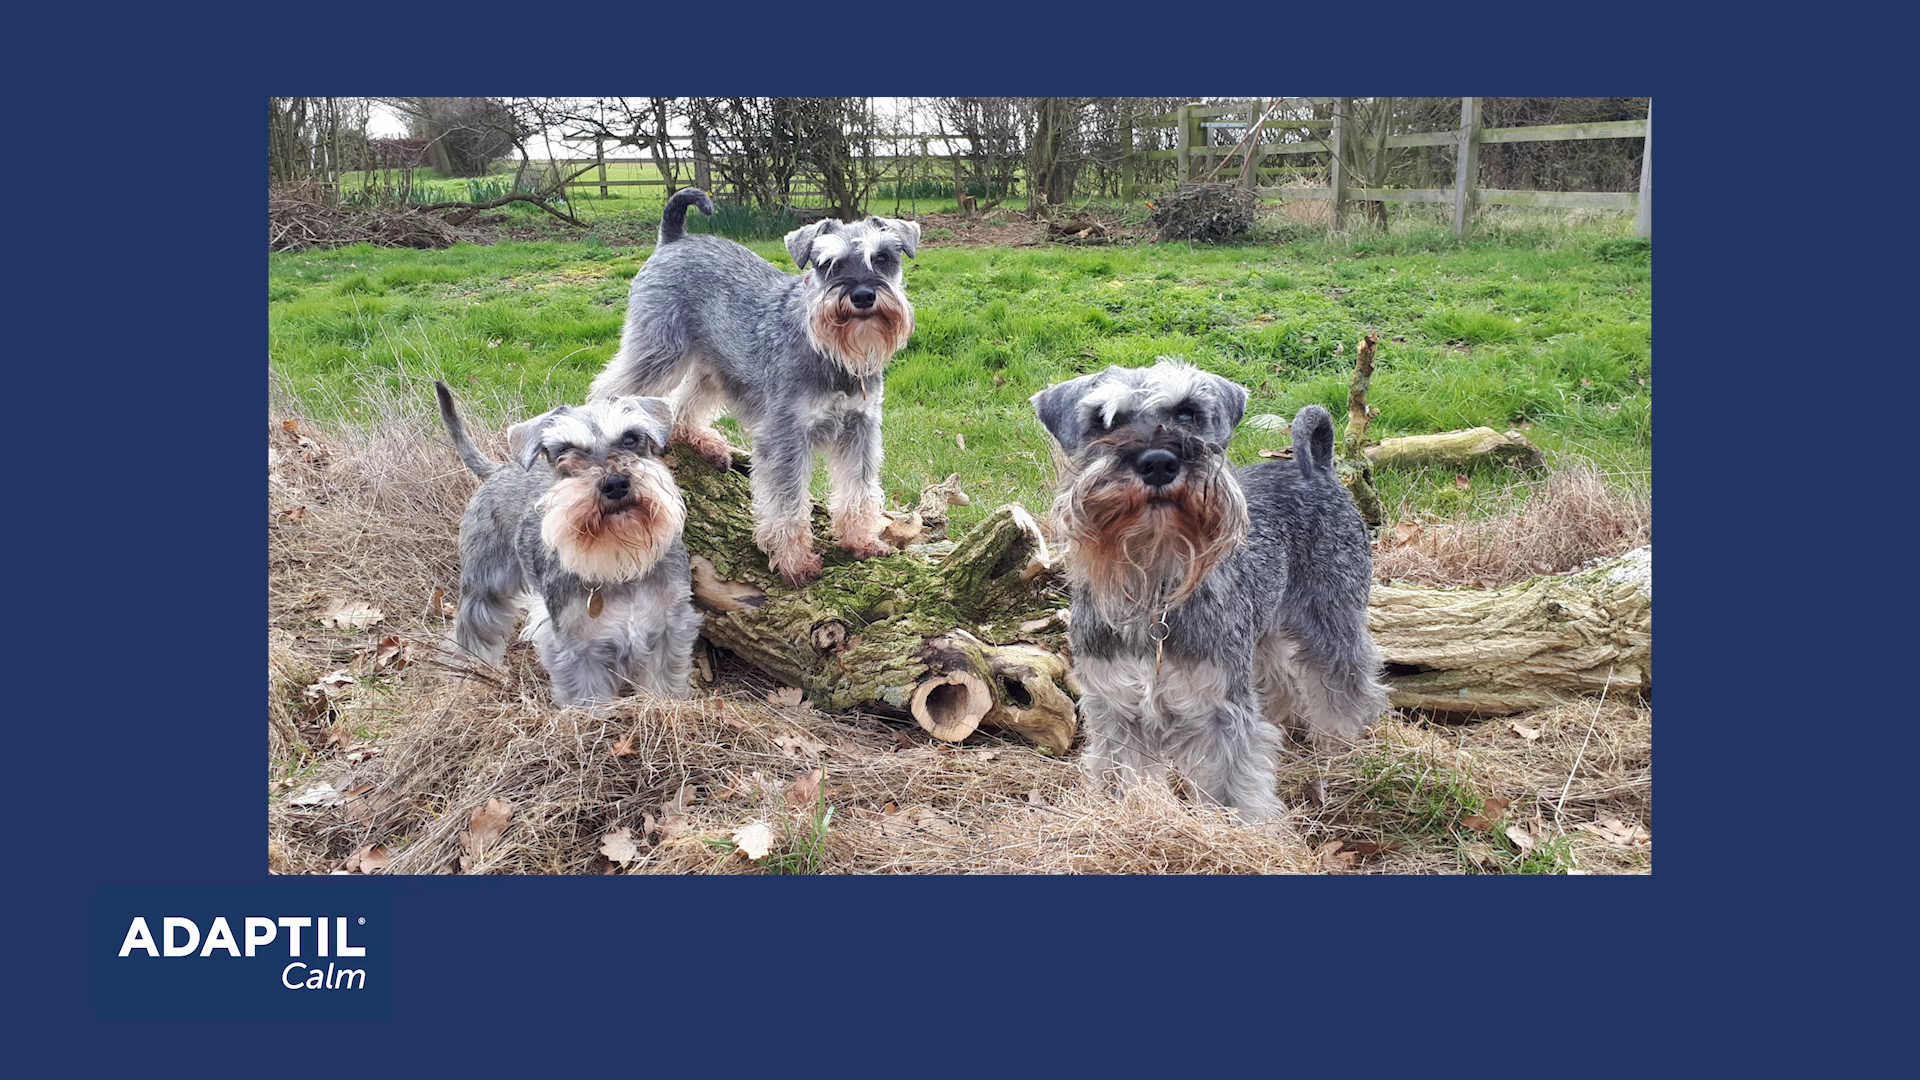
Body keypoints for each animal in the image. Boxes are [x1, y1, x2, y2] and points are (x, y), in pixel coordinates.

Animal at [435, 380, 706, 707]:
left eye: (630, 438)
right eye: (564, 450)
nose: (615, 483)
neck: (621, 563)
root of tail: (498, 470)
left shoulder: (669, 630)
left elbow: (664, 684)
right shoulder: (579, 649)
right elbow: (587, 699)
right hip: (485, 583)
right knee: (474, 628)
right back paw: (468, 671)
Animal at [587, 189, 917, 584]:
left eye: (882, 258)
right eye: (828, 264)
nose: (863, 296)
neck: (833, 354)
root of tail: (675, 239)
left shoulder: (860, 428)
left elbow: (859, 488)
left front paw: (861, 540)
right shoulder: (785, 436)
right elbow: (787, 502)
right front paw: (794, 561)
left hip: (715, 367)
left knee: (684, 404)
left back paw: (705, 443)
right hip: (659, 349)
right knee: (610, 389)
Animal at [1029, 357, 1390, 818]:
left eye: (1188, 413)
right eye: (1103, 421)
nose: (1159, 462)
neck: (1154, 589)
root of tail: (1322, 469)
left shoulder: (1219, 710)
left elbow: (1229, 787)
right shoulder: (1117, 710)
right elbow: (1122, 777)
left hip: (1332, 617)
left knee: (1347, 678)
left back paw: (1342, 743)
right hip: (1264, 629)